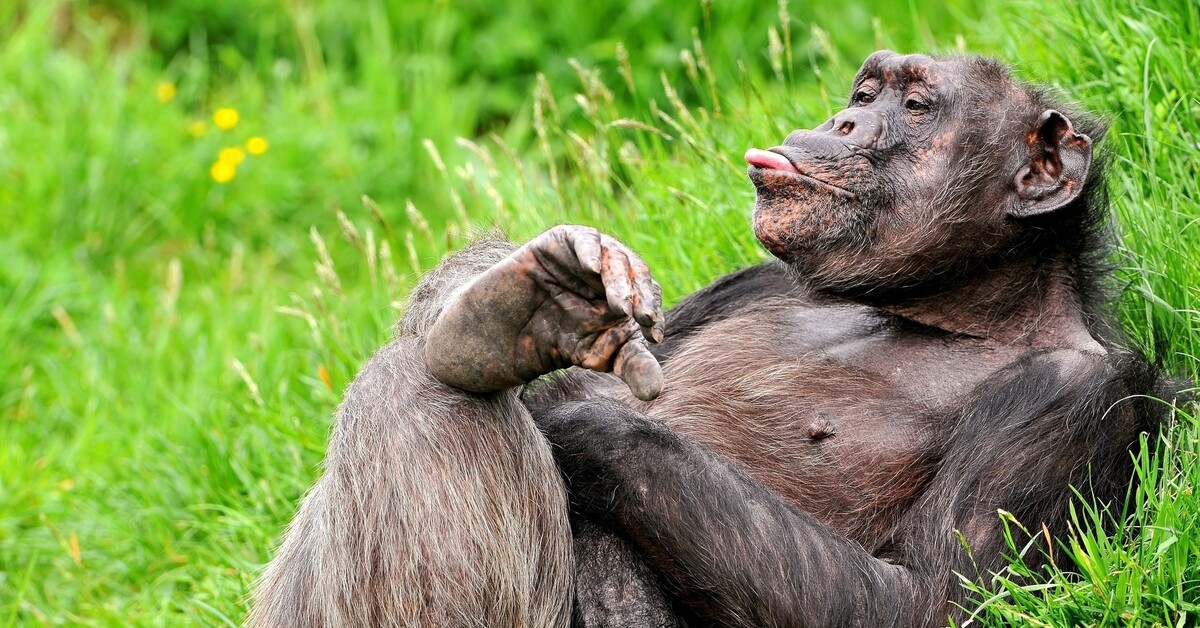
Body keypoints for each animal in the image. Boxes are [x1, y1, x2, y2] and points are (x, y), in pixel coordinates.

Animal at [248, 51, 1166, 624]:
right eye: (864, 95)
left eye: (913, 107)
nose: (841, 123)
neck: (933, 307)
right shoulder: (753, 281)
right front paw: (530, 299)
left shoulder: (1067, 403)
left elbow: (924, 600)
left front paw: (577, 410)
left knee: (424, 400)